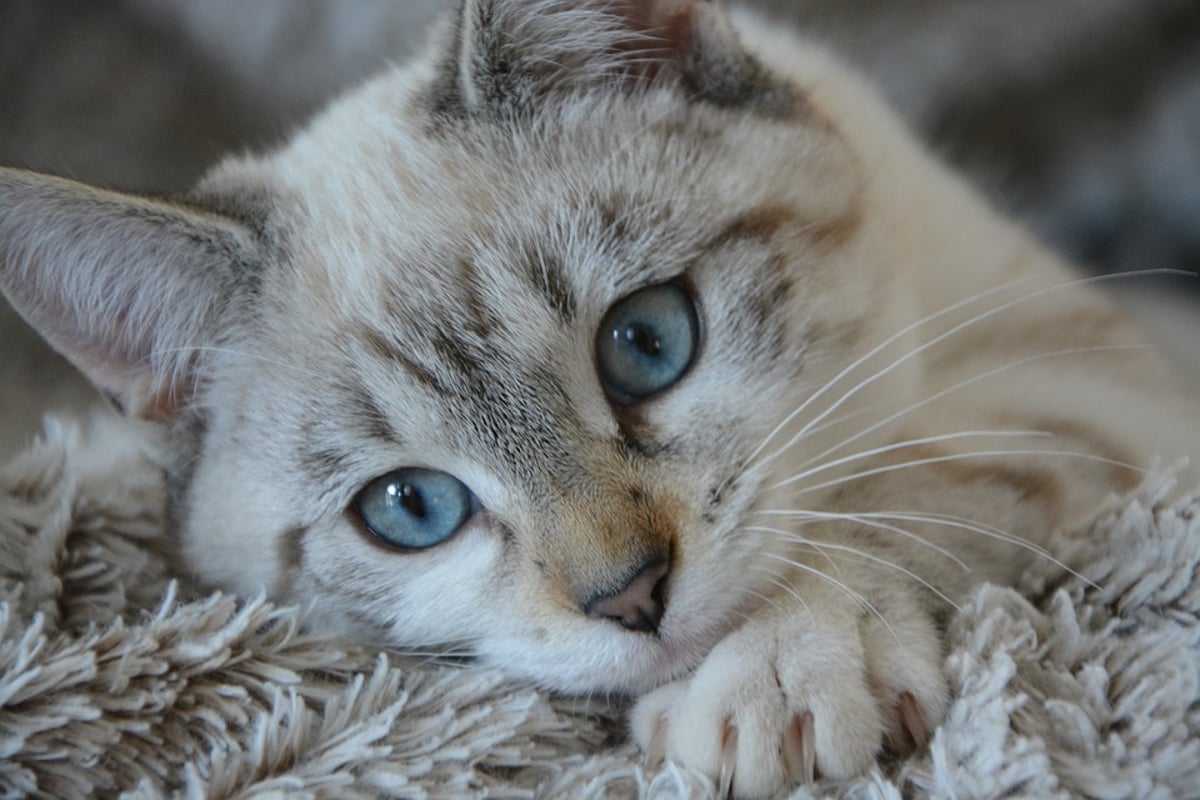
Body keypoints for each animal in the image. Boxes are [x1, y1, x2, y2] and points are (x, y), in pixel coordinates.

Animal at [2, 0, 1200, 796]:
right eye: (411, 509)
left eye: (646, 343)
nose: (631, 597)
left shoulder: (1087, 367)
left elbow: (904, 485)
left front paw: (780, 668)